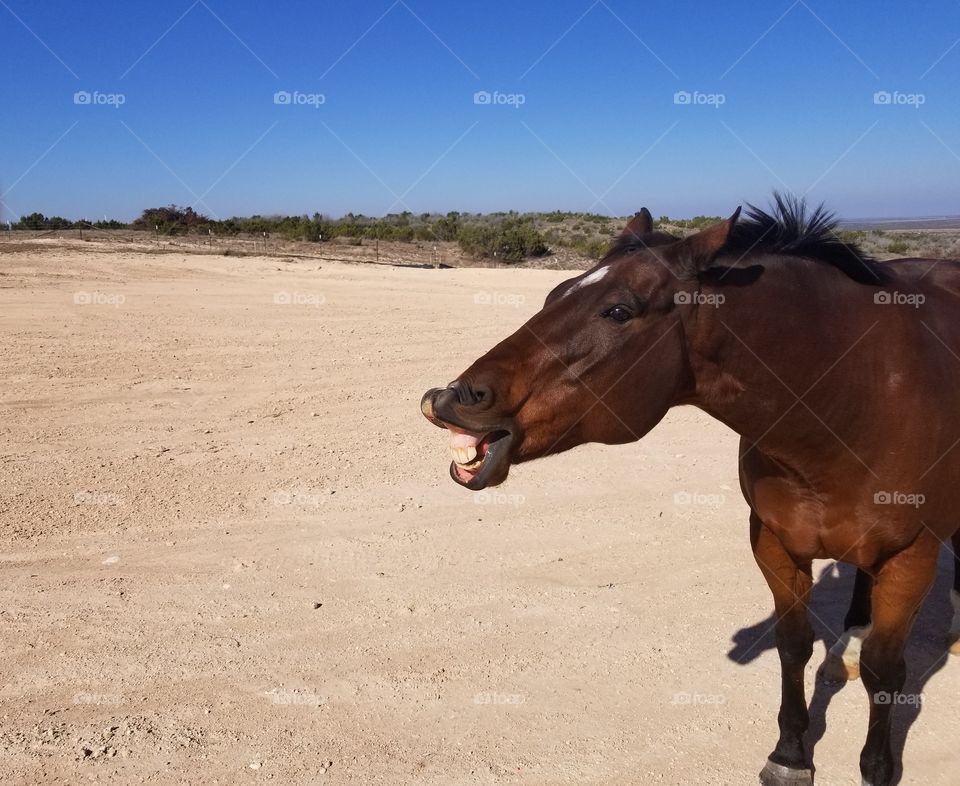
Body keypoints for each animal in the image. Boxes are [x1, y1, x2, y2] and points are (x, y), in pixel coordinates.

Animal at [420, 194, 960, 786]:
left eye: (618, 311)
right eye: (554, 293)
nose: (452, 398)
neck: (857, 397)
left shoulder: (911, 558)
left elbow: (885, 670)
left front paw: (876, 767)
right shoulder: (775, 543)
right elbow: (793, 645)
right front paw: (790, 754)